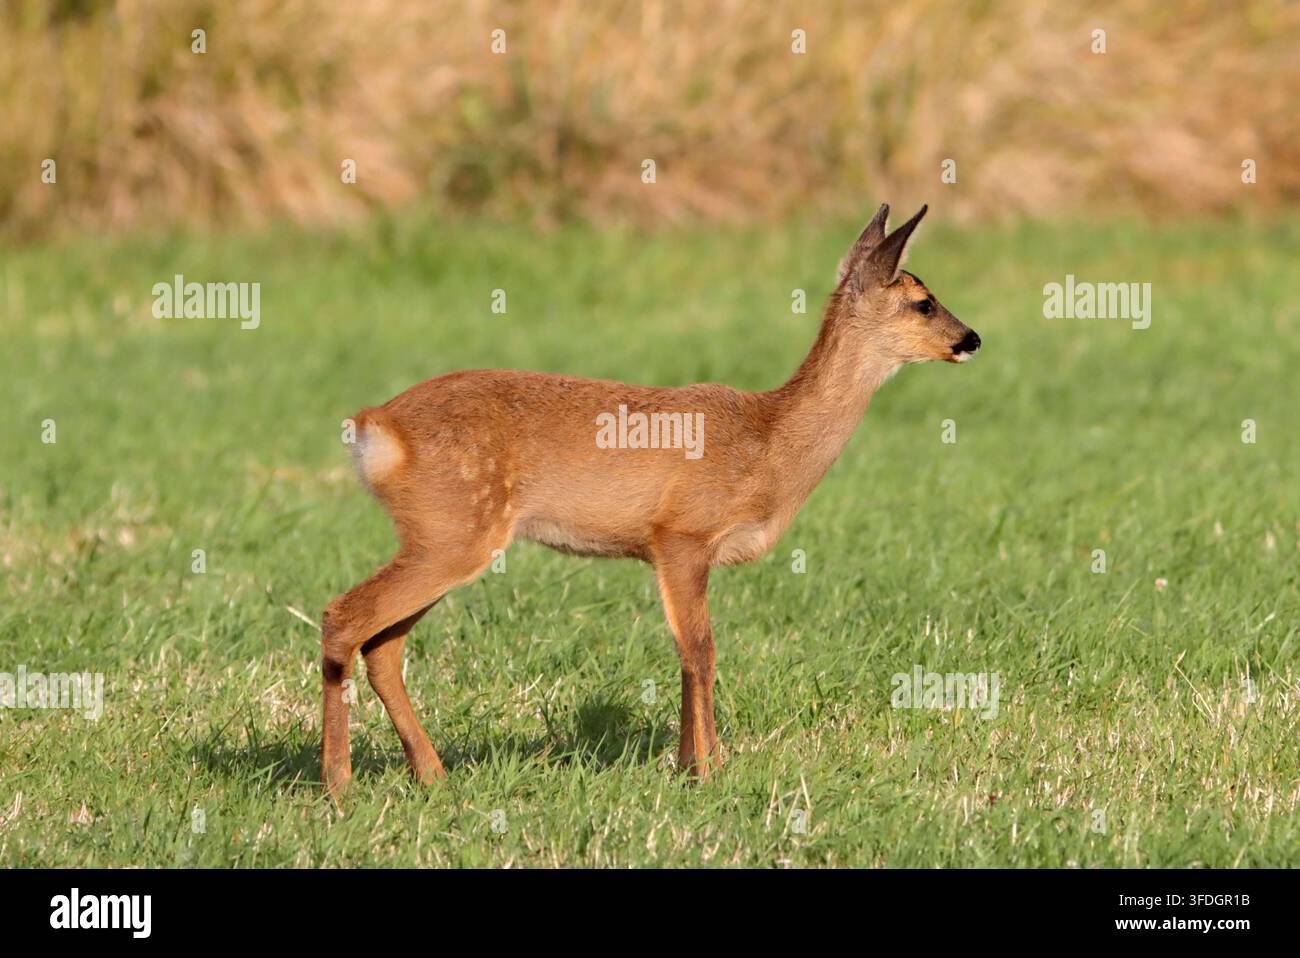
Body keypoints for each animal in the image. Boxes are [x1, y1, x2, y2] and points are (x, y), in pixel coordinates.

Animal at [320, 203, 980, 798]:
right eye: (923, 301)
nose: (972, 338)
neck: (769, 443)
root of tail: (374, 425)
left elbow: (689, 654)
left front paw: (690, 766)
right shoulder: (681, 534)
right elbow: (701, 651)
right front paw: (710, 772)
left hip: (443, 535)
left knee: (383, 644)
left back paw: (430, 774)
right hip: (455, 529)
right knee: (344, 617)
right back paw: (338, 783)